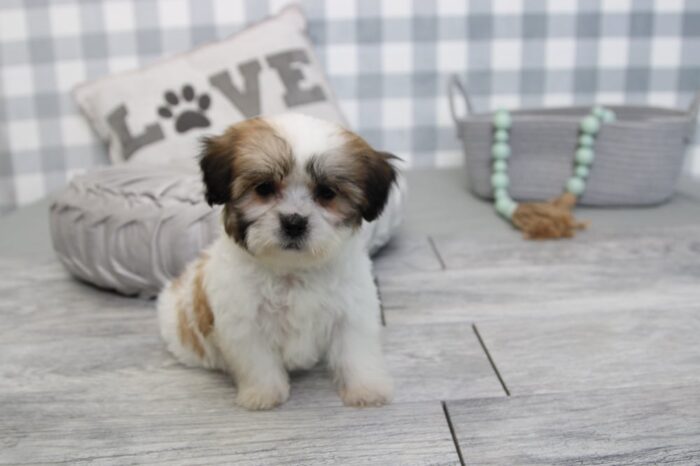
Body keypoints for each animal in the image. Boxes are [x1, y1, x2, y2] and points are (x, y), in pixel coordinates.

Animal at [160, 112, 400, 408]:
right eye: (263, 188)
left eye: (327, 193)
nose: (294, 222)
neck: (292, 270)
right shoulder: (244, 323)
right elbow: (257, 361)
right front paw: (264, 394)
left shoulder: (352, 311)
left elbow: (356, 351)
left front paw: (366, 388)